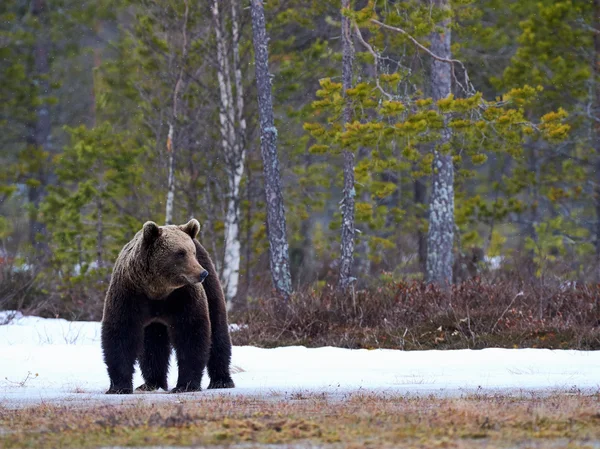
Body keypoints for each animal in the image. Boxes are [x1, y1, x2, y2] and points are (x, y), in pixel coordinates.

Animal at [101, 219, 234, 394]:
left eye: (192, 252)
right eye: (180, 253)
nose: (202, 273)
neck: (157, 290)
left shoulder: (183, 297)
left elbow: (191, 334)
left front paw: (185, 385)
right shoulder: (129, 294)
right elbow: (121, 333)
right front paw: (119, 387)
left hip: (211, 287)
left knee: (218, 328)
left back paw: (221, 380)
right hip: (153, 321)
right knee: (152, 346)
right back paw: (151, 383)